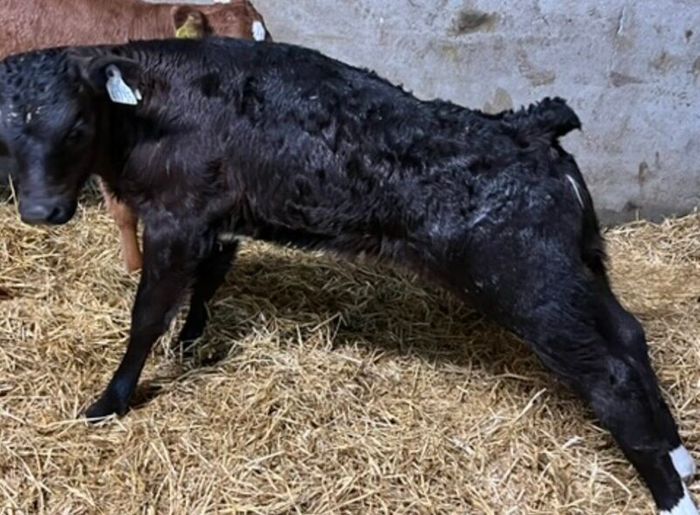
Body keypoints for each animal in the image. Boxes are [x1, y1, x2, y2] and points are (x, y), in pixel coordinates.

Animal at [0, 38, 696, 514]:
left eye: (79, 125)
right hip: (579, 263)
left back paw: (672, 496)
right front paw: (192, 343)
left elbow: (147, 314)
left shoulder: (177, 218)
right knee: (629, 338)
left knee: (608, 373)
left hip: (528, 280)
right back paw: (679, 455)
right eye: (5, 135)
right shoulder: (221, 218)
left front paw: (110, 401)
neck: (149, 111)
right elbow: (209, 282)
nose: (40, 212)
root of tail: (520, 124)